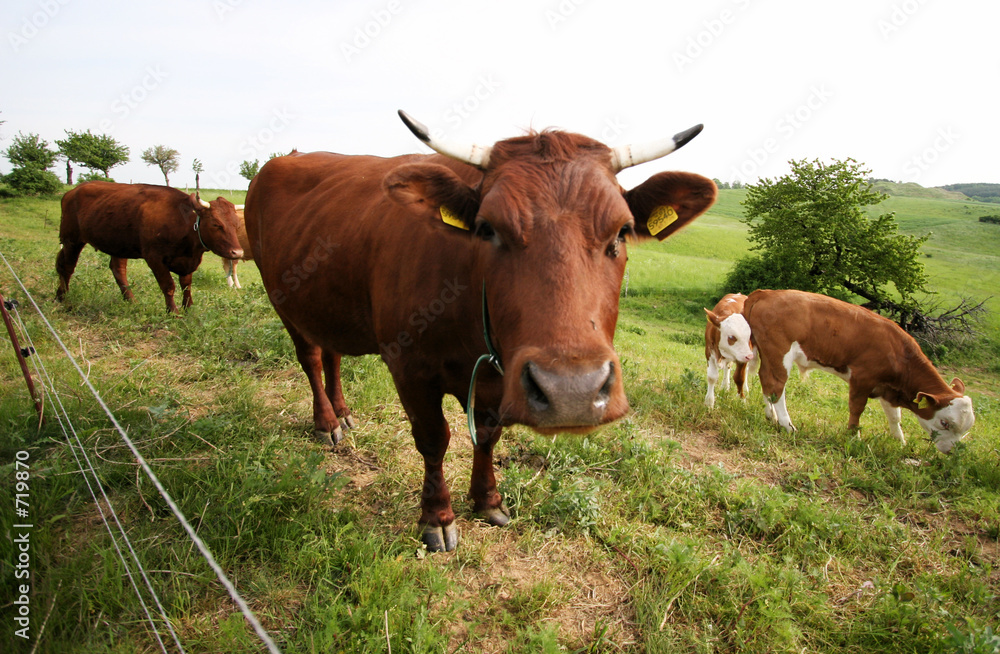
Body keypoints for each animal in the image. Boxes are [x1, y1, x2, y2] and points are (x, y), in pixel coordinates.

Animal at [56, 182, 244, 316]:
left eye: (236, 224)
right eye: (216, 224)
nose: (238, 252)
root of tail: (72, 192)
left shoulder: (187, 260)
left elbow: (186, 285)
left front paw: (188, 308)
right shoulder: (154, 257)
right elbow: (168, 286)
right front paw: (173, 312)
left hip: (118, 245)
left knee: (118, 270)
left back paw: (131, 301)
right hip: (71, 240)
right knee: (66, 267)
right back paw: (63, 298)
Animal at [247, 110, 720, 552]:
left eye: (621, 232)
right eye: (487, 228)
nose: (573, 392)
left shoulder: (497, 380)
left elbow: (488, 436)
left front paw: (487, 500)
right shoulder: (409, 368)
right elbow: (434, 439)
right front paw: (437, 517)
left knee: (332, 354)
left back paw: (343, 412)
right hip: (282, 299)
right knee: (310, 358)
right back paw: (327, 422)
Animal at [748, 292, 972, 456]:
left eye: (966, 429)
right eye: (944, 422)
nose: (952, 452)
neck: (898, 353)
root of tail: (766, 293)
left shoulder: (888, 390)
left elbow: (895, 416)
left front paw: (899, 441)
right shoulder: (862, 379)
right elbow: (857, 409)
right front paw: (854, 437)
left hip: (768, 355)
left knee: (766, 381)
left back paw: (771, 416)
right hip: (780, 355)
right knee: (777, 388)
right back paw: (787, 425)